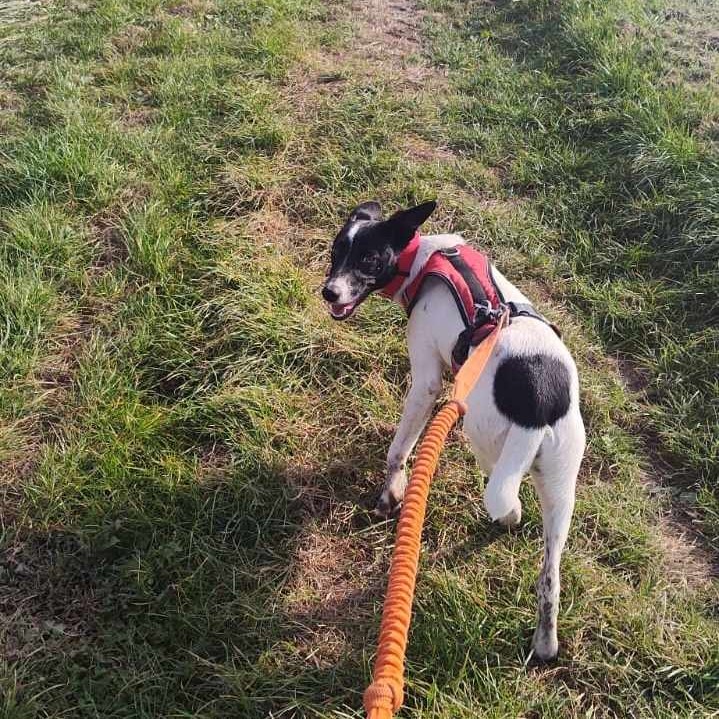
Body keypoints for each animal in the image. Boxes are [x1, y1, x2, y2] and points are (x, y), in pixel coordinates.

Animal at [321, 200, 585, 661]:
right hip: (561, 484)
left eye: (368, 260)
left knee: (506, 503)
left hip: (484, 441)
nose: (329, 292)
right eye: (336, 251)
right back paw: (545, 643)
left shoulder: (427, 382)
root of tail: (540, 402)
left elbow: (398, 450)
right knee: (549, 579)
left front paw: (391, 493)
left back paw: (508, 520)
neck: (423, 257)